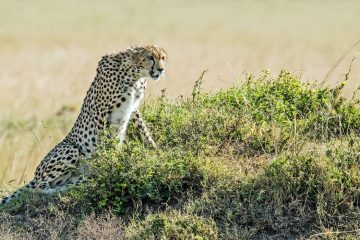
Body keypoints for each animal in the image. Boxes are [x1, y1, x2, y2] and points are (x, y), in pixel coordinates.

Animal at [0, 44, 167, 204]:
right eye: (150, 57)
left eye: (163, 58)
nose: (161, 69)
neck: (135, 74)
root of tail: (35, 176)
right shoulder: (101, 110)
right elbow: (104, 142)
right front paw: (108, 164)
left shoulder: (133, 108)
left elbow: (144, 131)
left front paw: (156, 151)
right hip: (71, 149)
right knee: (38, 189)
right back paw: (67, 188)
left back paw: (80, 181)